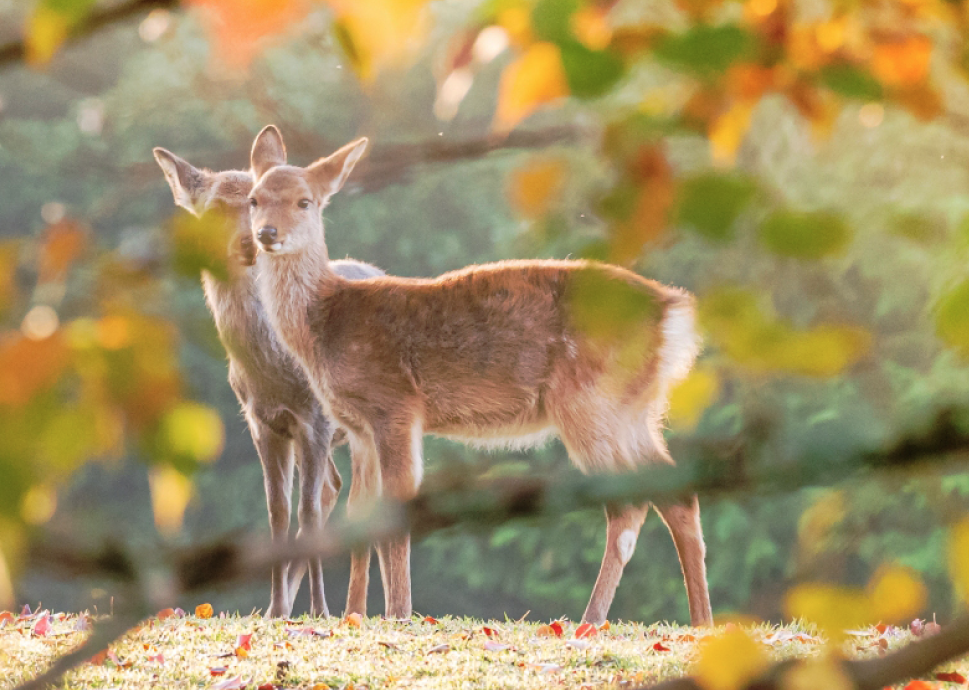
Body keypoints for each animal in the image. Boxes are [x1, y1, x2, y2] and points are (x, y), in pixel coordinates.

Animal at [153, 142, 384, 616]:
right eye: (212, 210)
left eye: (252, 202)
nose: (250, 241)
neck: (276, 373)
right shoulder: (263, 422)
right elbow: (277, 512)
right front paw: (277, 610)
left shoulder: (316, 421)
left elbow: (307, 512)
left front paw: (320, 610)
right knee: (334, 487)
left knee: (362, 501)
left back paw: (355, 609)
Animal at [246, 123, 716, 624]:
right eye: (254, 199)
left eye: (305, 201)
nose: (266, 233)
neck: (327, 322)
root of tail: (674, 312)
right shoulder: (357, 427)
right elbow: (360, 516)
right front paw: (356, 614)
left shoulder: (396, 404)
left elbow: (395, 511)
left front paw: (399, 614)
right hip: (634, 408)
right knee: (677, 493)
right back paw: (700, 621)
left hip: (588, 401)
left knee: (628, 503)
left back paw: (590, 620)